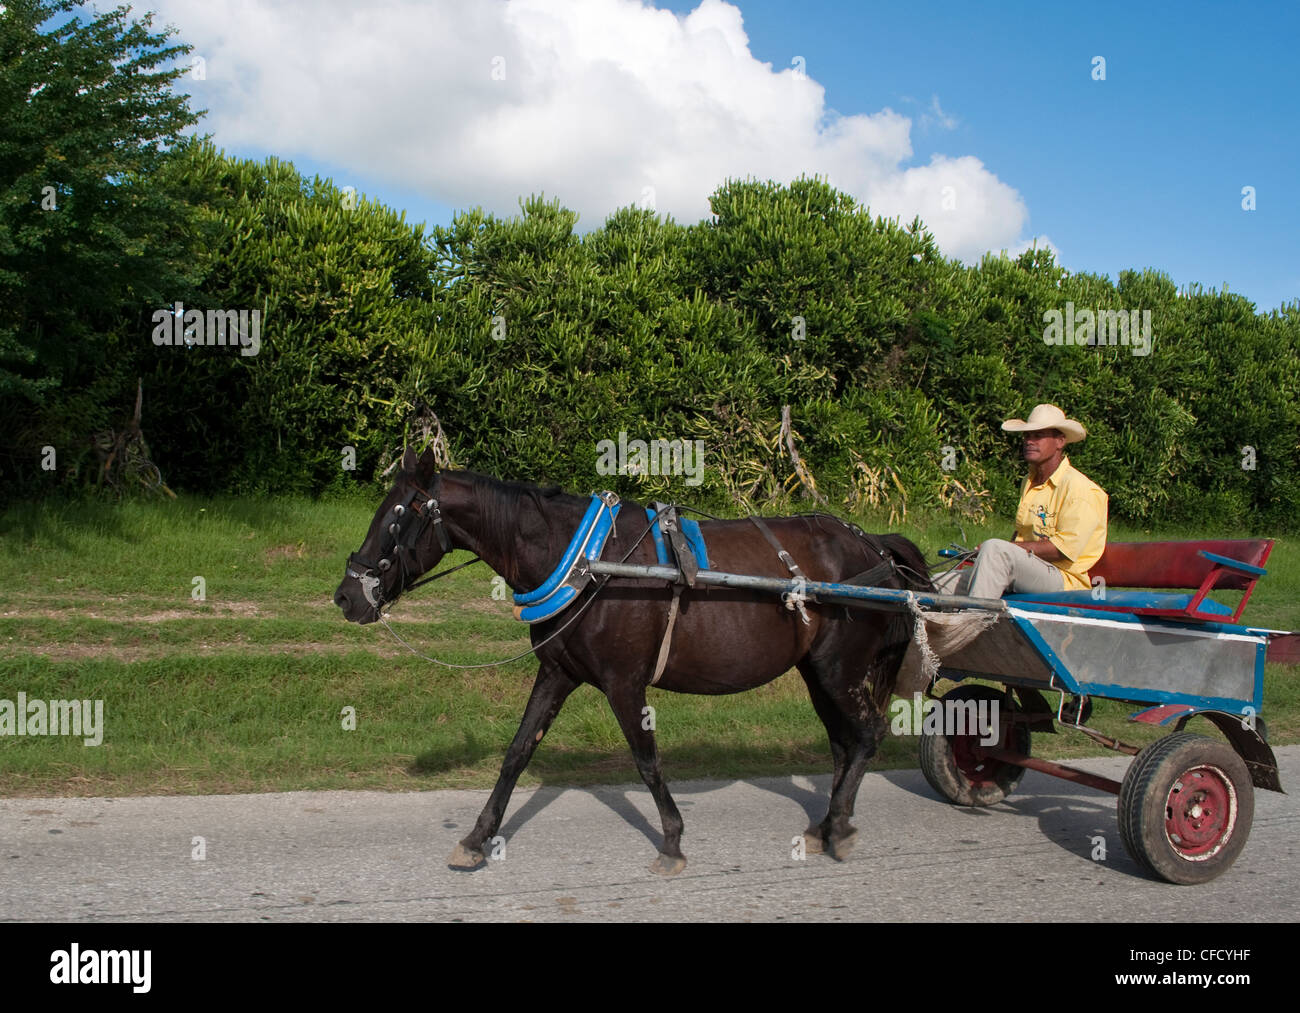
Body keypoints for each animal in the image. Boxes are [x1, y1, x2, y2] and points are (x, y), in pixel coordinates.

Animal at [335, 447, 935, 873]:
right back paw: (826, 824)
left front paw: (671, 841)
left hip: (839, 668)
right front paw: (477, 838)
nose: (346, 596)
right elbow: (516, 754)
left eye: (397, 517)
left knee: (866, 735)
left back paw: (841, 826)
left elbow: (647, 762)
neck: (587, 563)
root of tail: (873, 546)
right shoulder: (558, 673)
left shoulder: (624, 683)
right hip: (818, 671)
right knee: (842, 742)